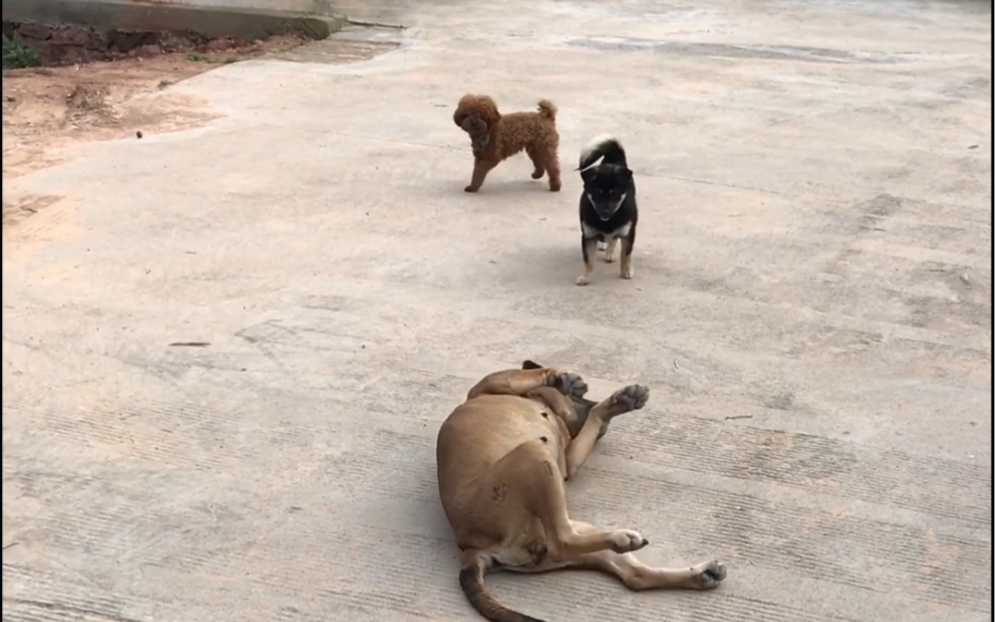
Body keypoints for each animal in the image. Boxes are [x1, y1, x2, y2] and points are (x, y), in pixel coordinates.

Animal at [436, 360, 724, 622]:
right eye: (578, 398)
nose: (585, 399)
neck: (542, 403)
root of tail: (473, 548)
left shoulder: (567, 459)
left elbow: (591, 417)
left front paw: (616, 402)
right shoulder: (490, 383)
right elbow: (530, 373)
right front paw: (563, 379)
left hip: (568, 518)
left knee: (631, 574)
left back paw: (700, 574)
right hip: (534, 455)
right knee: (562, 541)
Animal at [576, 135, 640, 286]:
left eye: (613, 193)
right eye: (597, 193)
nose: (605, 211)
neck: (607, 221)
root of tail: (612, 160)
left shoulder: (628, 233)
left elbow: (626, 254)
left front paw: (626, 271)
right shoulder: (588, 235)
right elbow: (588, 260)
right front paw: (585, 277)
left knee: (614, 239)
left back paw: (610, 251)